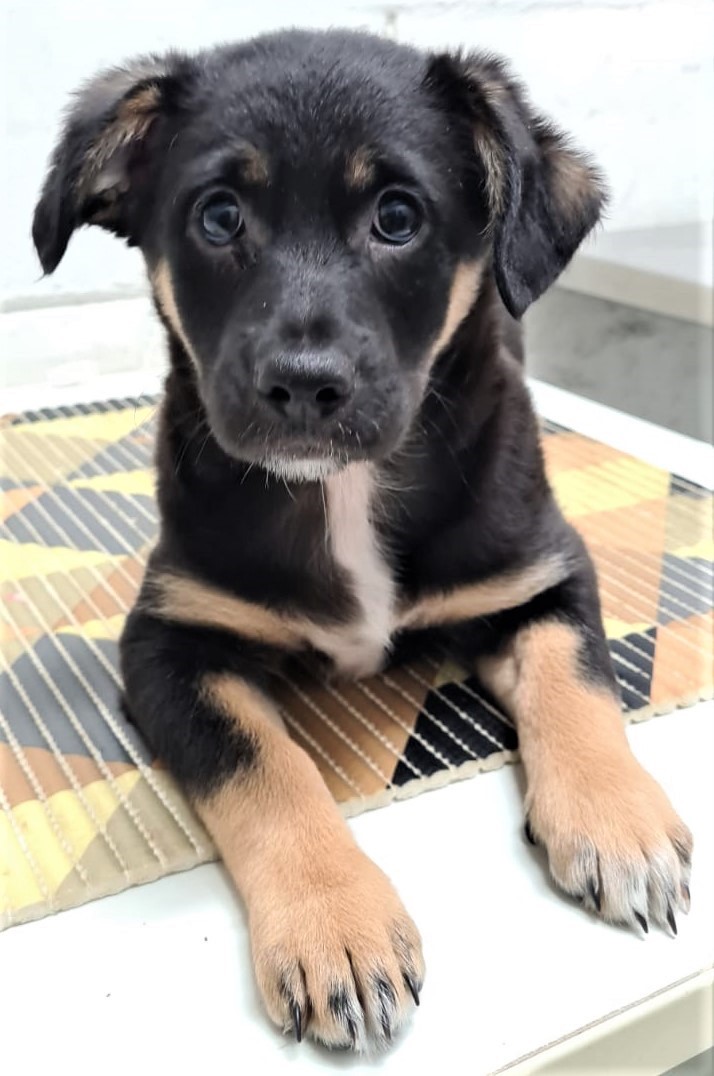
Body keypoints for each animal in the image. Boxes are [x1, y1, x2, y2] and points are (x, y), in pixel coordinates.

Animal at [34, 31, 692, 1050]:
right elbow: (263, 764)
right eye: (218, 217)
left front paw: (619, 821)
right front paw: (334, 926)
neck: (339, 493)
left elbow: (579, 682)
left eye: (397, 217)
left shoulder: (544, 572)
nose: (305, 385)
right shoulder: (166, 640)